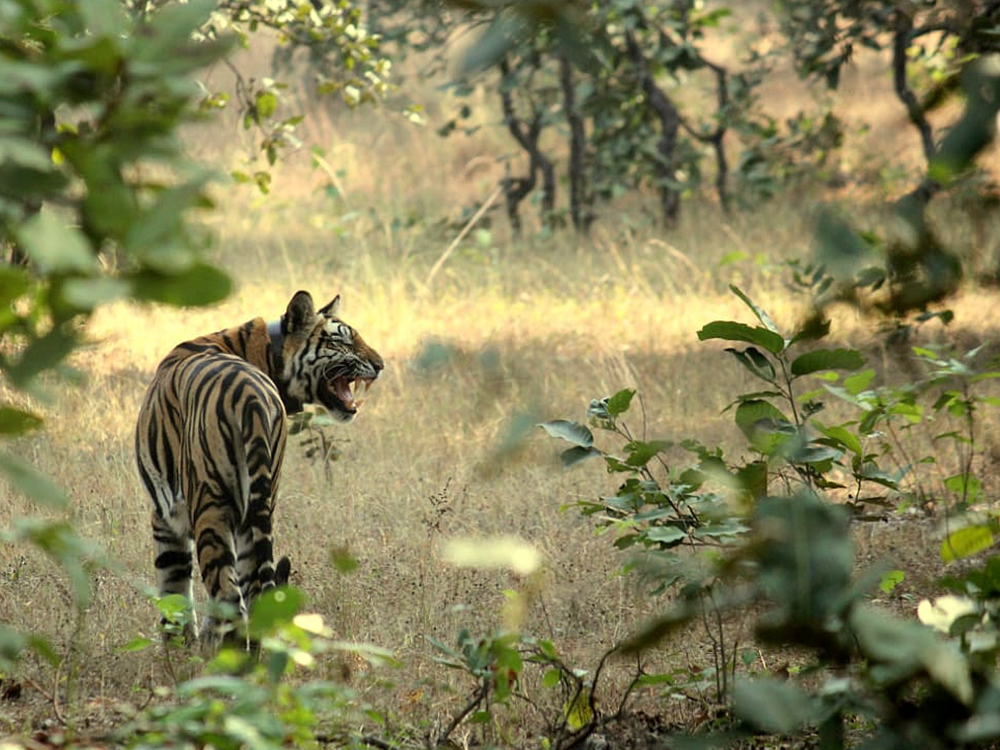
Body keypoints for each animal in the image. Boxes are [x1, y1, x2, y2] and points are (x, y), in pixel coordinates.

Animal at [135, 291, 384, 642]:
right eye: (341, 340)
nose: (380, 365)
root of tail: (250, 397)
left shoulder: (165, 516)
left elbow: (174, 598)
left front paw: (179, 653)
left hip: (211, 509)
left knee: (230, 598)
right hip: (255, 510)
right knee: (254, 598)